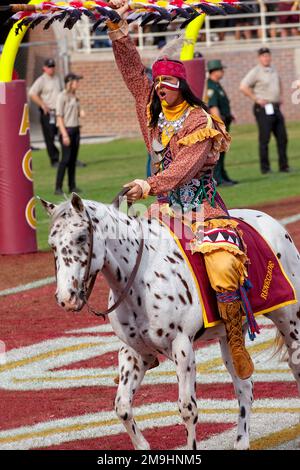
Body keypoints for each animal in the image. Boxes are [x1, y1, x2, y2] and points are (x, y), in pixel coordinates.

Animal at [40, 195, 300, 452]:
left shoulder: (182, 347)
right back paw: (241, 441)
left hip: (288, 318)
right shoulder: (134, 352)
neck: (143, 279)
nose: (65, 297)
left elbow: (188, 409)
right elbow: (122, 406)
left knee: (294, 363)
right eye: (52, 243)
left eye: (81, 237)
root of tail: (273, 223)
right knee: (245, 386)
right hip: (230, 338)